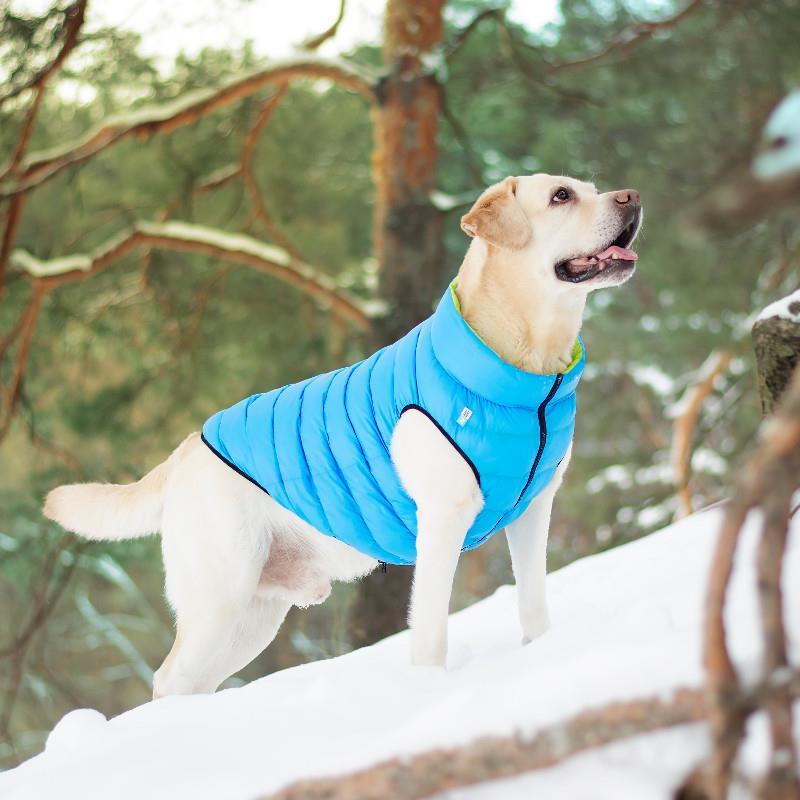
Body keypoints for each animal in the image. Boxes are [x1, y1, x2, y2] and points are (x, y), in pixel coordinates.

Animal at [44, 174, 642, 698]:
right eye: (561, 196)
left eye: (590, 188)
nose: (633, 197)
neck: (524, 374)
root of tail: (189, 446)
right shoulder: (443, 520)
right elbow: (430, 630)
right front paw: (430, 689)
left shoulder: (533, 509)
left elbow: (533, 602)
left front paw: (541, 654)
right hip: (220, 594)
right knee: (169, 679)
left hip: (253, 616)